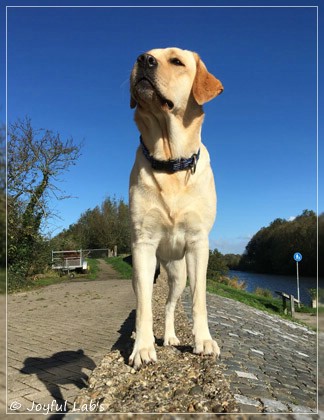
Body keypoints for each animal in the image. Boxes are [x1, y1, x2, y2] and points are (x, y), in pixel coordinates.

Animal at [128, 46, 223, 368]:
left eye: (177, 61)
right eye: (145, 55)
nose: (143, 59)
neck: (170, 161)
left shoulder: (198, 243)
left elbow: (199, 300)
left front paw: (203, 341)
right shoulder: (143, 244)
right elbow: (144, 307)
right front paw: (143, 348)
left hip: (179, 273)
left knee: (170, 305)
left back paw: (170, 336)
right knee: (148, 301)